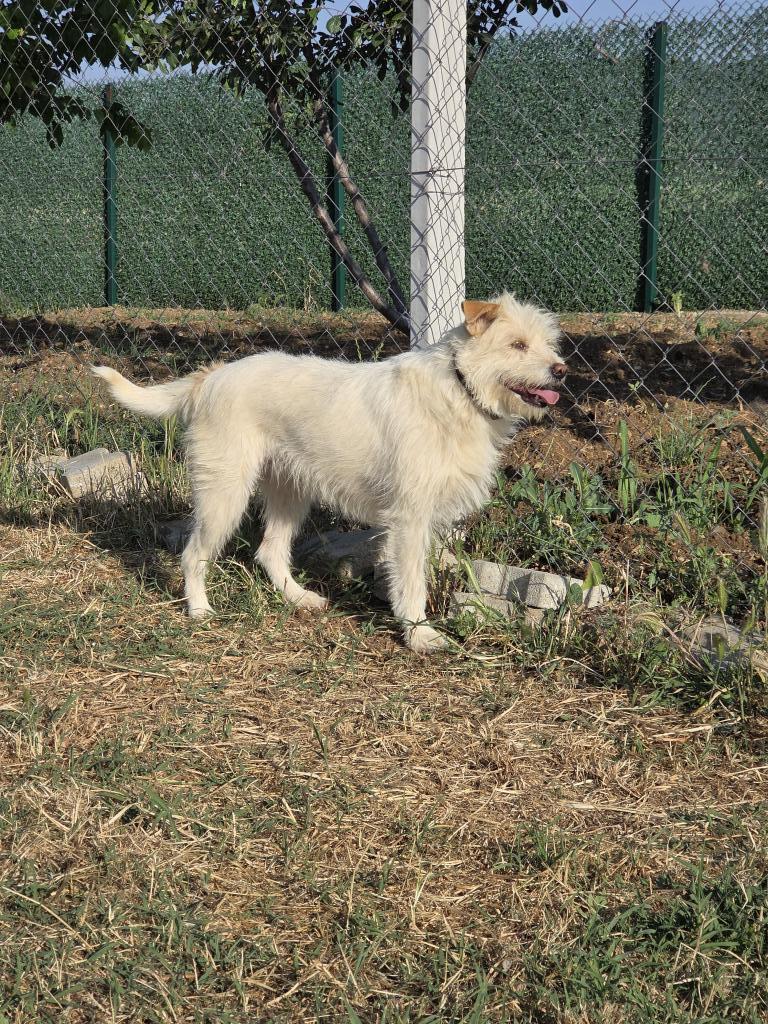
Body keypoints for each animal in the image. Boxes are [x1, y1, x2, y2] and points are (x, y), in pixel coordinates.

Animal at [92, 293, 566, 653]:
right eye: (517, 345)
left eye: (548, 343)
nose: (561, 370)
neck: (461, 388)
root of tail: (212, 377)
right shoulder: (409, 520)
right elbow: (412, 581)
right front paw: (419, 635)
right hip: (223, 494)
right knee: (194, 554)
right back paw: (199, 609)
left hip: (289, 493)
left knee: (269, 551)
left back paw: (298, 597)